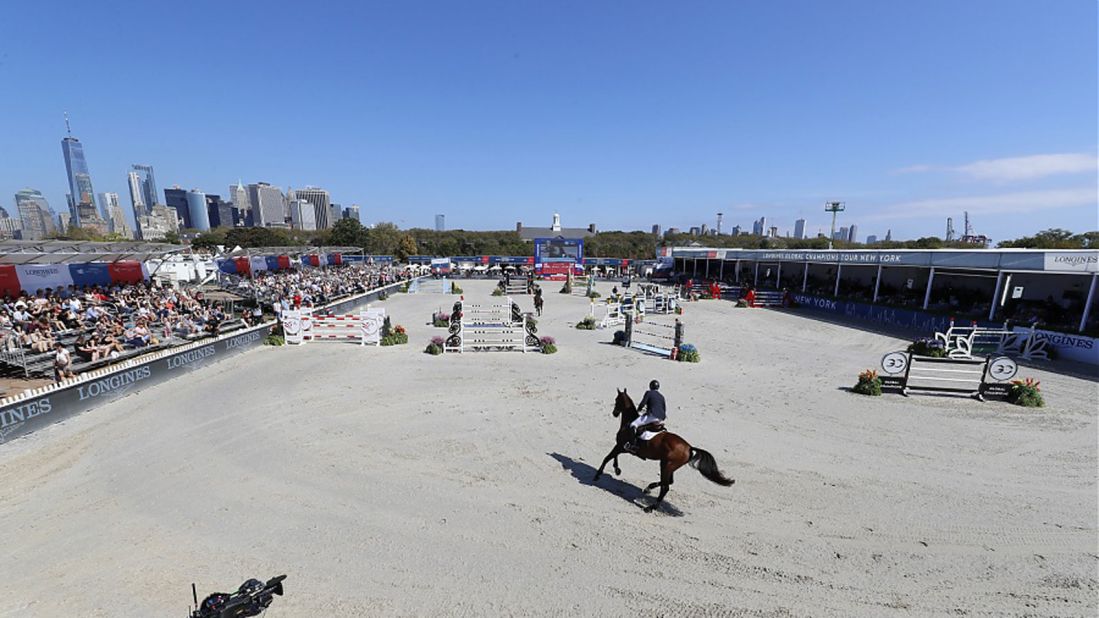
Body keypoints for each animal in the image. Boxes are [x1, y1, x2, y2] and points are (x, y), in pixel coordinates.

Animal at [589, 387, 734, 512]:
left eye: (616, 400)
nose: (614, 413)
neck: (629, 421)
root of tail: (689, 447)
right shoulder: (622, 448)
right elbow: (613, 457)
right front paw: (617, 469)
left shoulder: (620, 446)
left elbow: (607, 457)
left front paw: (597, 475)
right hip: (668, 465)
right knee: (669, 482)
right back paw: (648, 488)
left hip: (666, 465)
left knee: (666, 487)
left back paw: (651, 507)